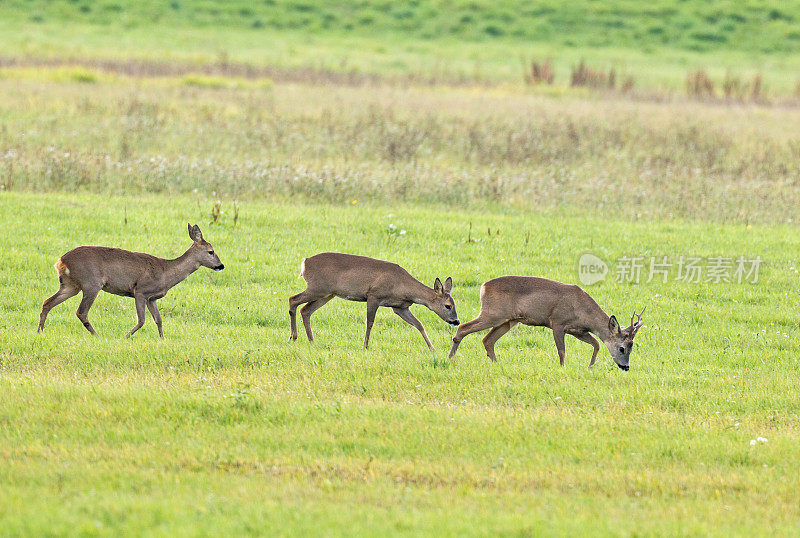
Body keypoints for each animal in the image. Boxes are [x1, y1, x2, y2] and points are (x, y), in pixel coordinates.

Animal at [37, 222, 223, 336]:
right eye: (211, 251)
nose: (221, 266)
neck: (166, 272)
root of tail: (61, 261)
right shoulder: (140, 291)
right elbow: (142, 320)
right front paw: (126, 336)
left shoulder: (152, 298)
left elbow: (159, 320)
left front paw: (162, 340)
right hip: (91, 283)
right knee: (81, 312)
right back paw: (96, 335)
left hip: (70, 285)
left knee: (47, 302)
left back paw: (40, 331)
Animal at [290, 253, 460, 350]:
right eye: (448, 306)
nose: (456, 321)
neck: (402, 285)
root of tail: (305, 263)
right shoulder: (373, 296)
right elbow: (370, 322)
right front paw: (365, 346)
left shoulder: (400, 307)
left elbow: (419, 324)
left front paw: (432, 348)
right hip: (318, 288)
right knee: (293, 299)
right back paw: (294, 336)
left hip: (327, 294)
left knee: (305, 310)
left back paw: (311, 341)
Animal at [450, 276, 644, 368]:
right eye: (622, 348)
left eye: (632, 347)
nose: (626, 367)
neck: (582, 310)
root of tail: (483, 286)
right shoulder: (557, 322)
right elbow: (562, 351)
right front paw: (562, 368)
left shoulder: (578, 330)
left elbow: (596, 343)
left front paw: (590, 367)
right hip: (493, 314)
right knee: (463, 327)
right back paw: (450, 357)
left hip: (508, 320)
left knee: (487, 340)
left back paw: (497, 364)